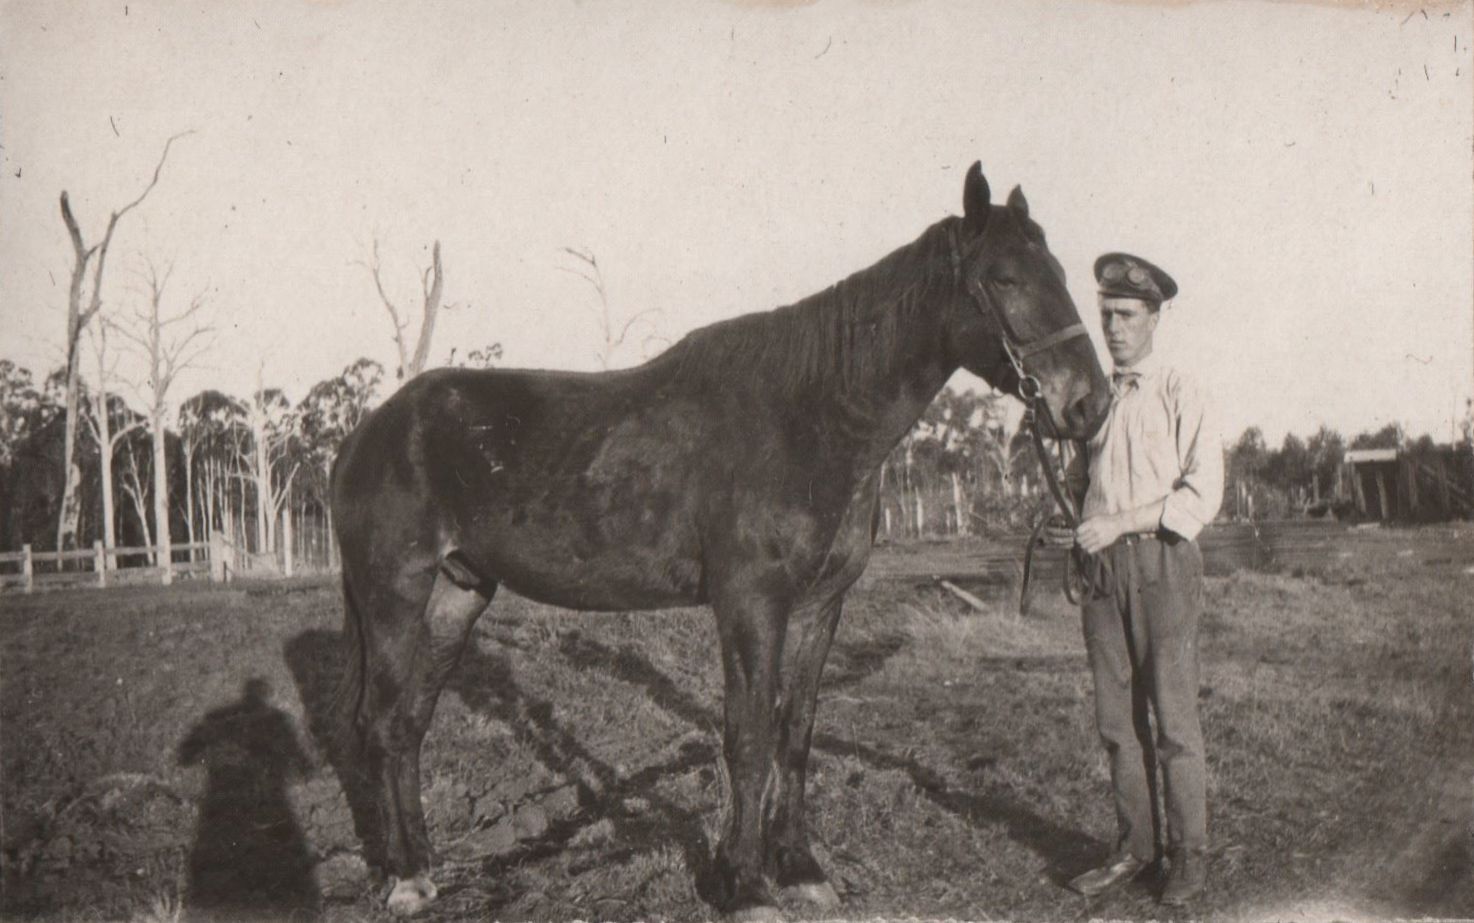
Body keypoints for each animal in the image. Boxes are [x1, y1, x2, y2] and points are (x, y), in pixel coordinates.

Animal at [329, 162, 1111, 919]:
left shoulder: (820, 605)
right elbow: (749, 736)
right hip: (395, 595)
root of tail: (367, 432)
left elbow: (795, 732)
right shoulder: (749, 602)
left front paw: (801, 870)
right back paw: (403, 878)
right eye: (1004, 278)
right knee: (380, 722)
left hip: (457, 595)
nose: (1089, 404)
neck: (811, 418)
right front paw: (747, 885)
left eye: (1060, 273)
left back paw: (424, 866)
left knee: (409, 723)